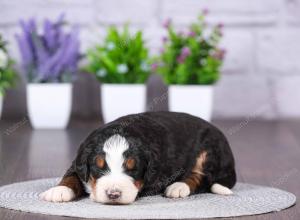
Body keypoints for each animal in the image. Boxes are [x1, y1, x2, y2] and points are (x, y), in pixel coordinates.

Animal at [40, 111, 237, 205]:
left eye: (132, 168)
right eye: (98, 166)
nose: (113, 194)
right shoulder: (78, 162)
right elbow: (71, 176)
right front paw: (59, 190)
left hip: (209, 149)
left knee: (204, 177)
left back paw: (179, 187)